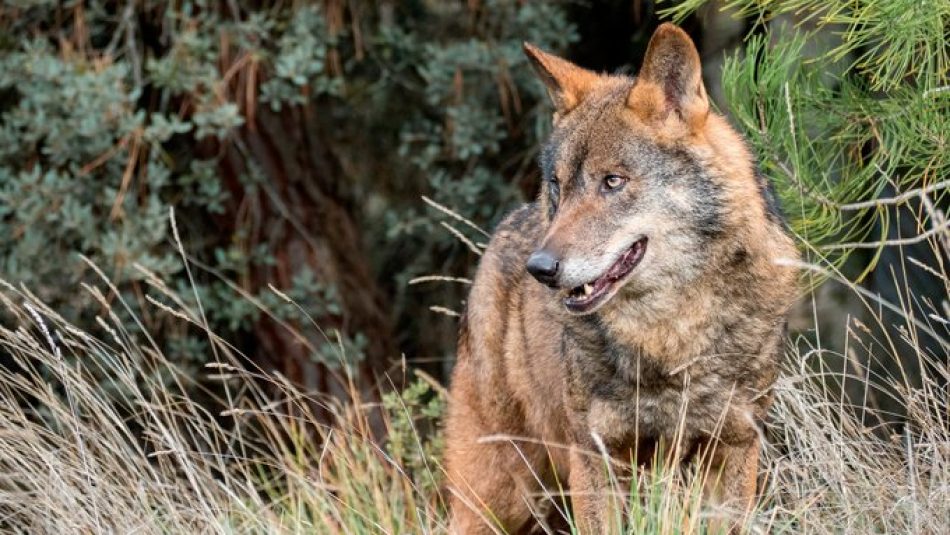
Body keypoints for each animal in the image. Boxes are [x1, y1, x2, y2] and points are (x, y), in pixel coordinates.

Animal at [442, 23, 800, 532]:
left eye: (612, 181)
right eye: (558, 185)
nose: (541, 268)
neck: (669, 336)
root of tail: (507, 225)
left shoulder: (733, 448)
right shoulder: (596, 456)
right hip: (502, 494)